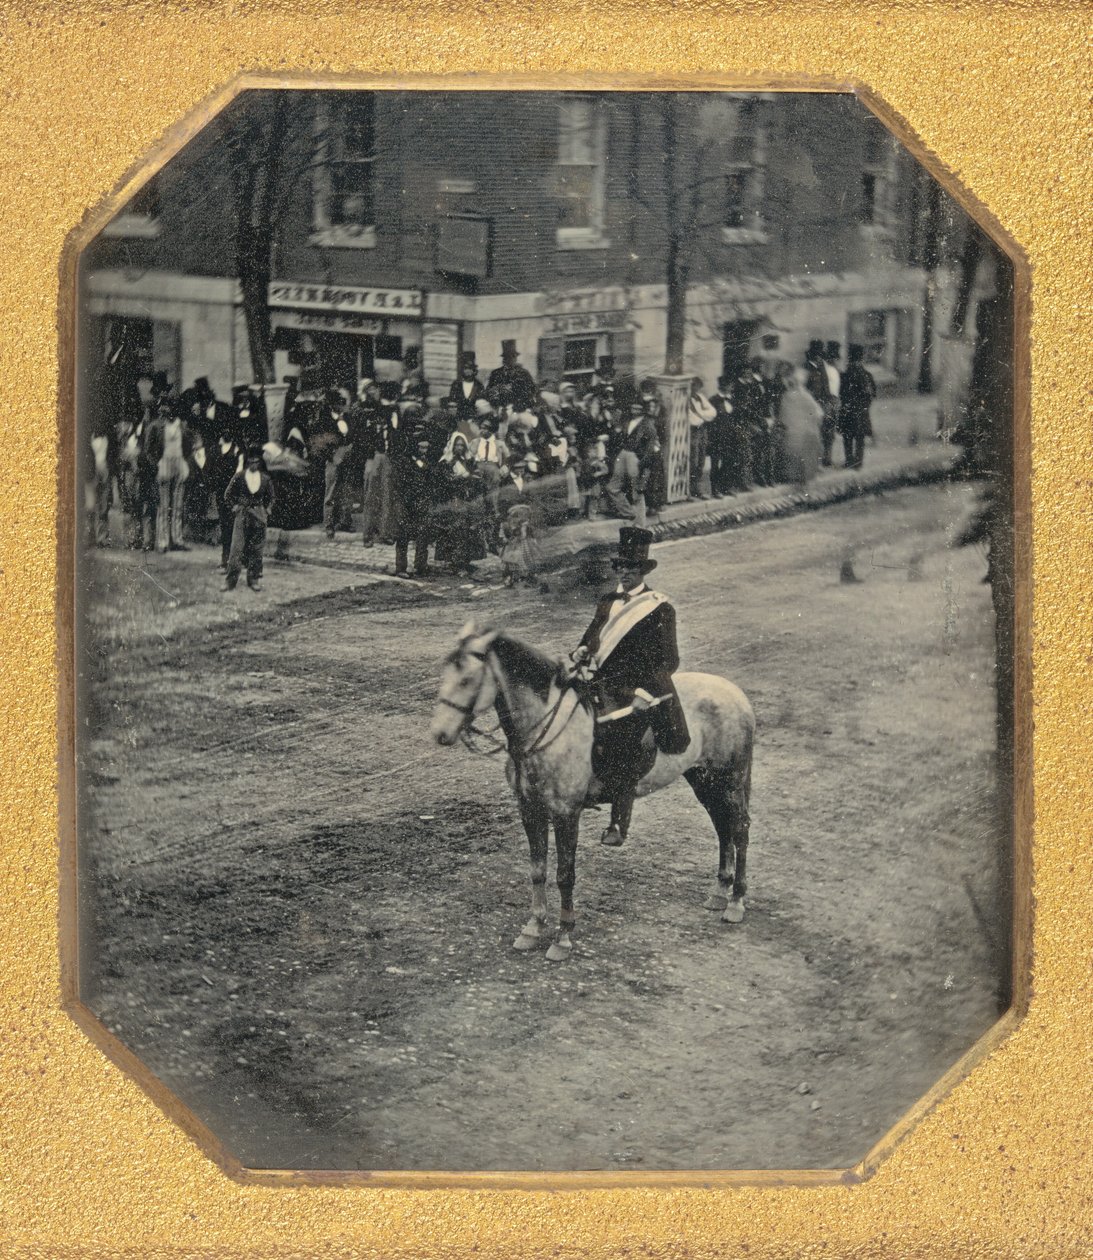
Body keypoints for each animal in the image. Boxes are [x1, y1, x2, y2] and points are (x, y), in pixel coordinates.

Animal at [431, 622, 756, 962]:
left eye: (466, 679)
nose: (440, 733)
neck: (544, 727)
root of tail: (734, 692)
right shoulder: (530, 810)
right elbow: (537, 869)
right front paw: (533, 928)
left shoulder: (566, 813)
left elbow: (564, 875)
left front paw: (562, 937)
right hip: (704, 780)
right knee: (722, 829)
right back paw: (719, 893)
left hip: (730, 781)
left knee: (739, 830)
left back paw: (736, 902)